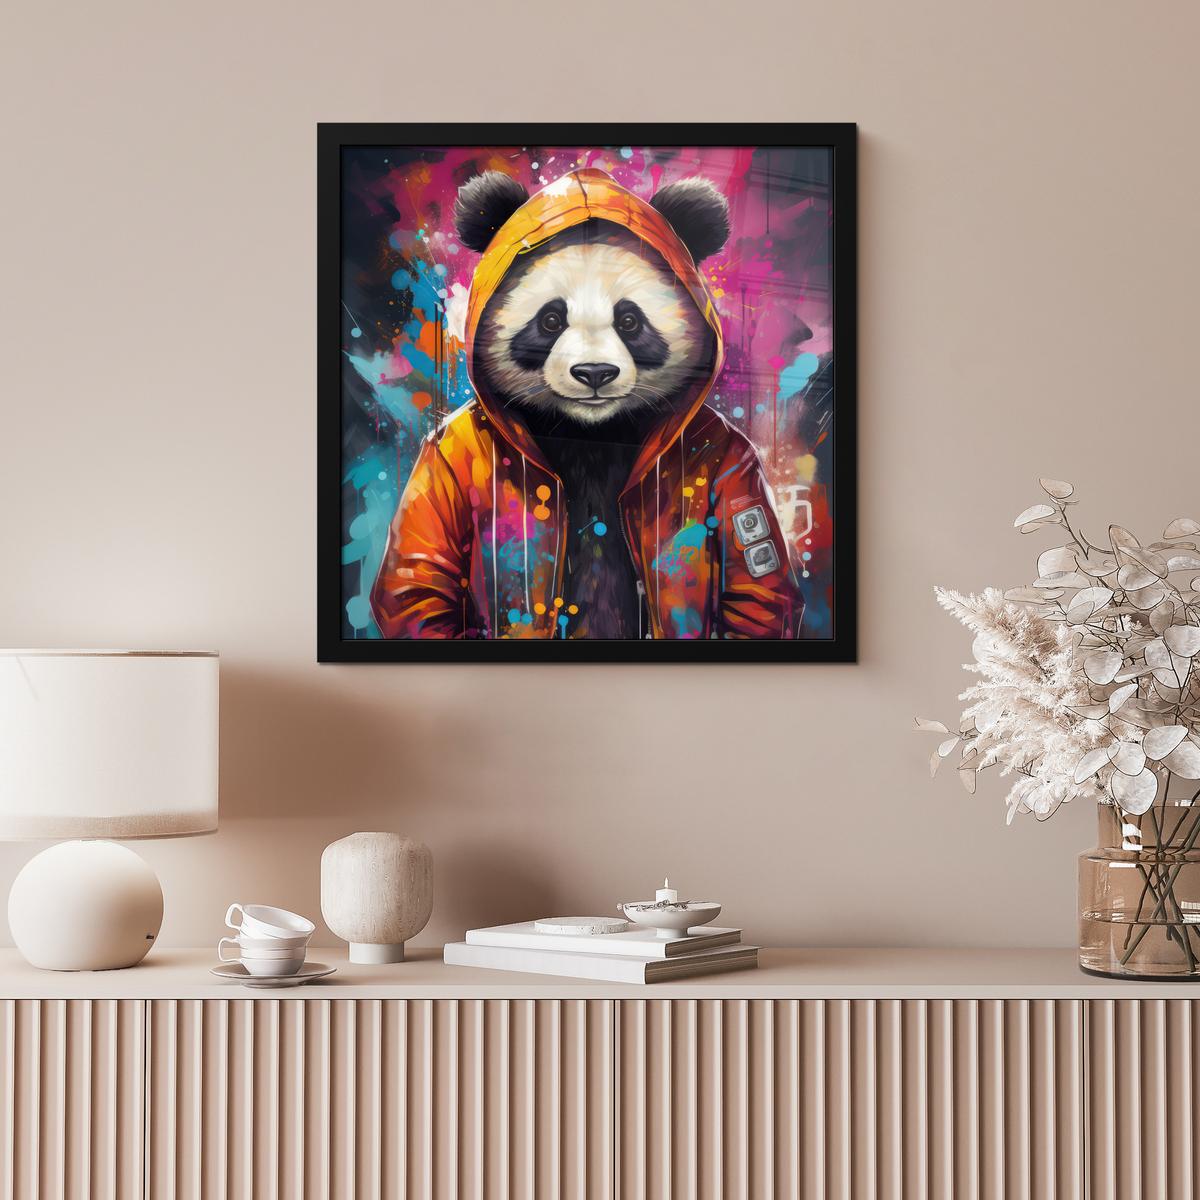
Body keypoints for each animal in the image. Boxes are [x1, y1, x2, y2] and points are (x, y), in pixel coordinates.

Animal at [371, 167, 804, 641]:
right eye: (550, 320)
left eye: (630, 321)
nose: (594, 373)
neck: (590, 429)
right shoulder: (446, 451)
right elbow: (423, 579)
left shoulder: (730, 452)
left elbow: (752, 586)